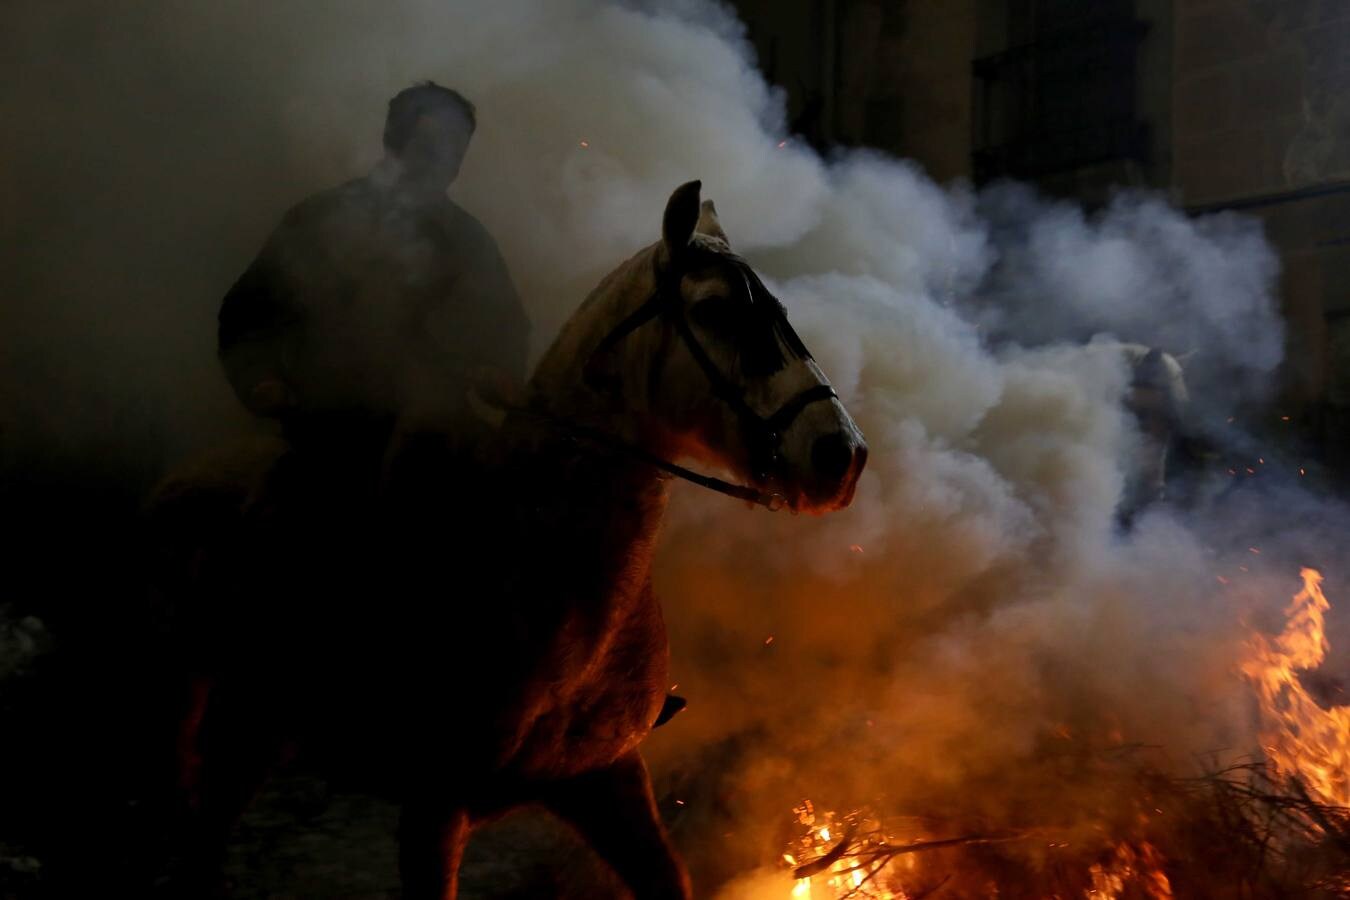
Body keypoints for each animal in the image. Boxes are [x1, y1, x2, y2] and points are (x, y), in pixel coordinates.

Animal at [147, 179, 864, 895]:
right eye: (714, 309)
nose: (842, 453)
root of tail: (186, 475)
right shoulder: (435, 807)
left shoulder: (607, 780)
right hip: (228, 719)